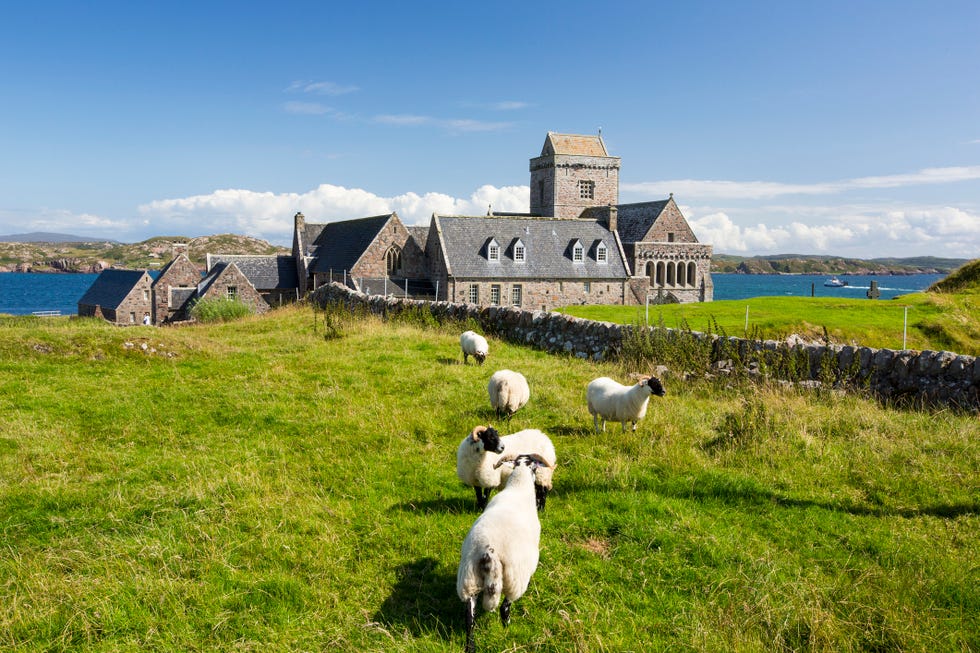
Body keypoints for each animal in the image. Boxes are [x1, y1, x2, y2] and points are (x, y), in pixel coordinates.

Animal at [456, 454, 548, 652]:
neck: (518, 487)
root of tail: (489, 550)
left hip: (468, 579)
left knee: (469, 618)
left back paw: (470, 647)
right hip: (514, 579)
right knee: (504, 608)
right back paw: (507, 629)